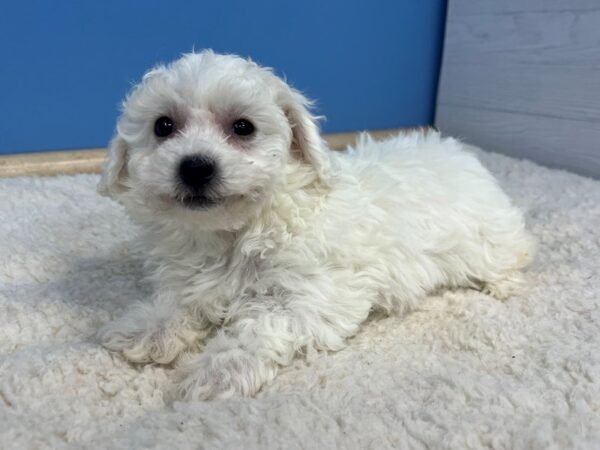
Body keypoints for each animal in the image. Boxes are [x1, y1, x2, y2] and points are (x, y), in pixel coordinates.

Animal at [97, 50, 536, 400]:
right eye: (163, 126)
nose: (195, 167)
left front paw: (217, 370)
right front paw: (147, 330)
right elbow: (180, 301)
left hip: (487, 243)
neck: (234, 233)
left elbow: (261, 326)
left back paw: (501, 284)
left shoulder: (317, 295)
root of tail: (465, 154)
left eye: (243, 127)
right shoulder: (191, 274)